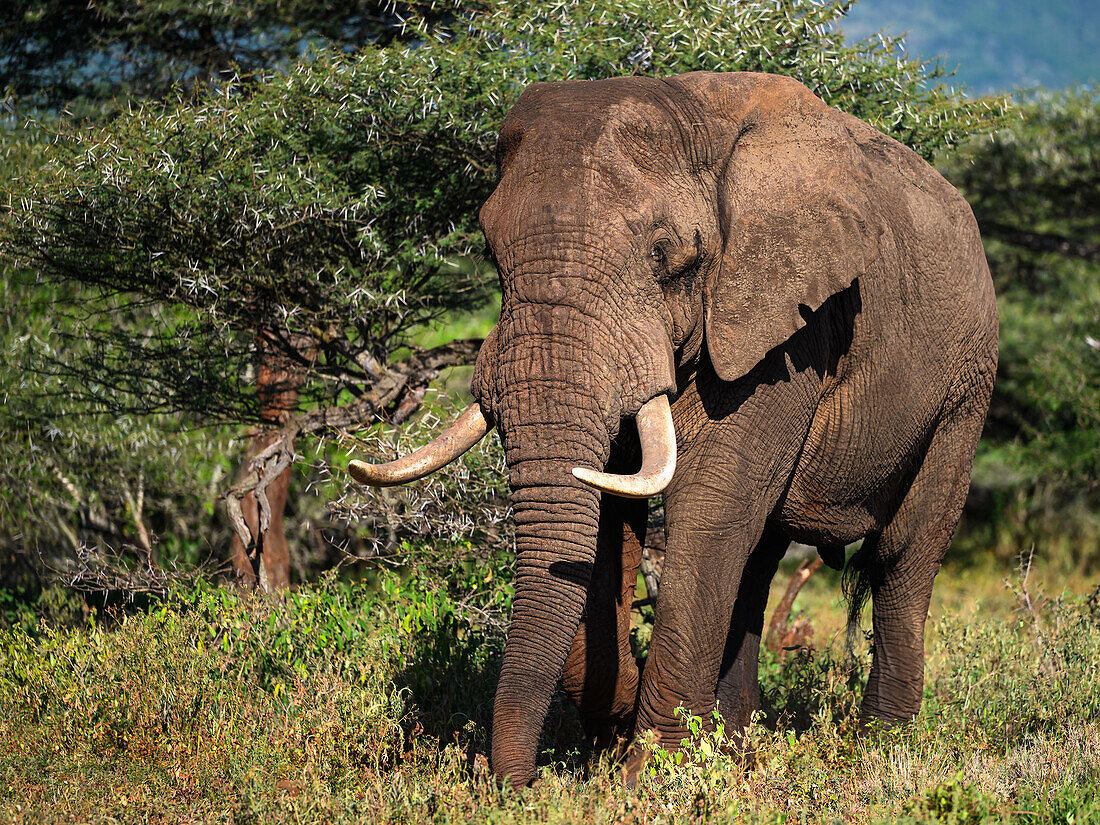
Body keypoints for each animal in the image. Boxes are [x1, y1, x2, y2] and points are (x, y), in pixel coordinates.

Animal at [347, 70, 1003, 787]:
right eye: (492, 253)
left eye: (667, 256)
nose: (513, 787)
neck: (689, 108)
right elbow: (612, 514)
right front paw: (624, 730)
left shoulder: (786, 328)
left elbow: (708, 505)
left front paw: (652, 778)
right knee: (759, 557)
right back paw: (737, 747)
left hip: (966, 385)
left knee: (902, 554)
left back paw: (878, 749)